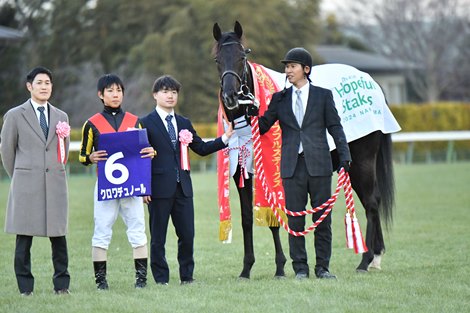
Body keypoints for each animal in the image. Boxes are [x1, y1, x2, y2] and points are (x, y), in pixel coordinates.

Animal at [212, 22, 392, 276]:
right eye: (217, 59)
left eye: (241, 57)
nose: (230, 97)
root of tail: (371, 83)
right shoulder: (242, 173)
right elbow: (247, 218)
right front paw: (246, 269)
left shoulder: (274, 171)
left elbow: (275, 217)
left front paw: (280, 267)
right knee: (372, 201)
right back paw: (375, 256)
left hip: (362, 160)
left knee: (371, 203)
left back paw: (366, 261)